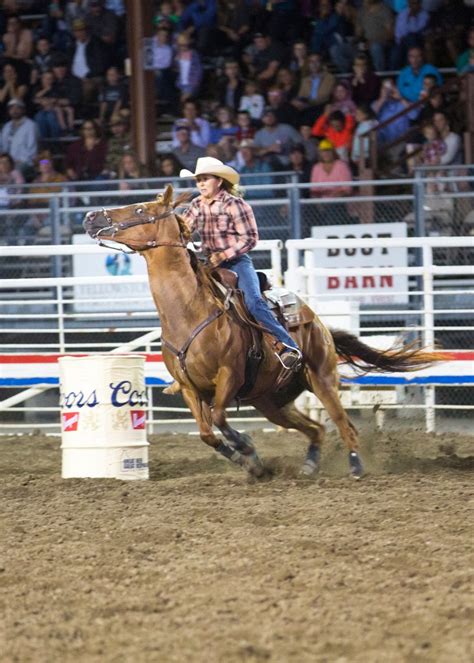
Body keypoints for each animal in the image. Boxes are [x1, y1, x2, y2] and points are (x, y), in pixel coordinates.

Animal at [83, 184, 442, 480]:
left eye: (141, 210)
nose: (90, 216)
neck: (188, 311)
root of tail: (318, 323)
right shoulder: (188, 388)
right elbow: (207, 433)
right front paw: (249, 461)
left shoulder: (229, 375)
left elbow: (220, 418)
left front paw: (246, 448)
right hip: (271, 402)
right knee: (315, 429)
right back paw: (309, 465)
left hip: (321, 379)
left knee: (344, 424)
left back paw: (355, 466)